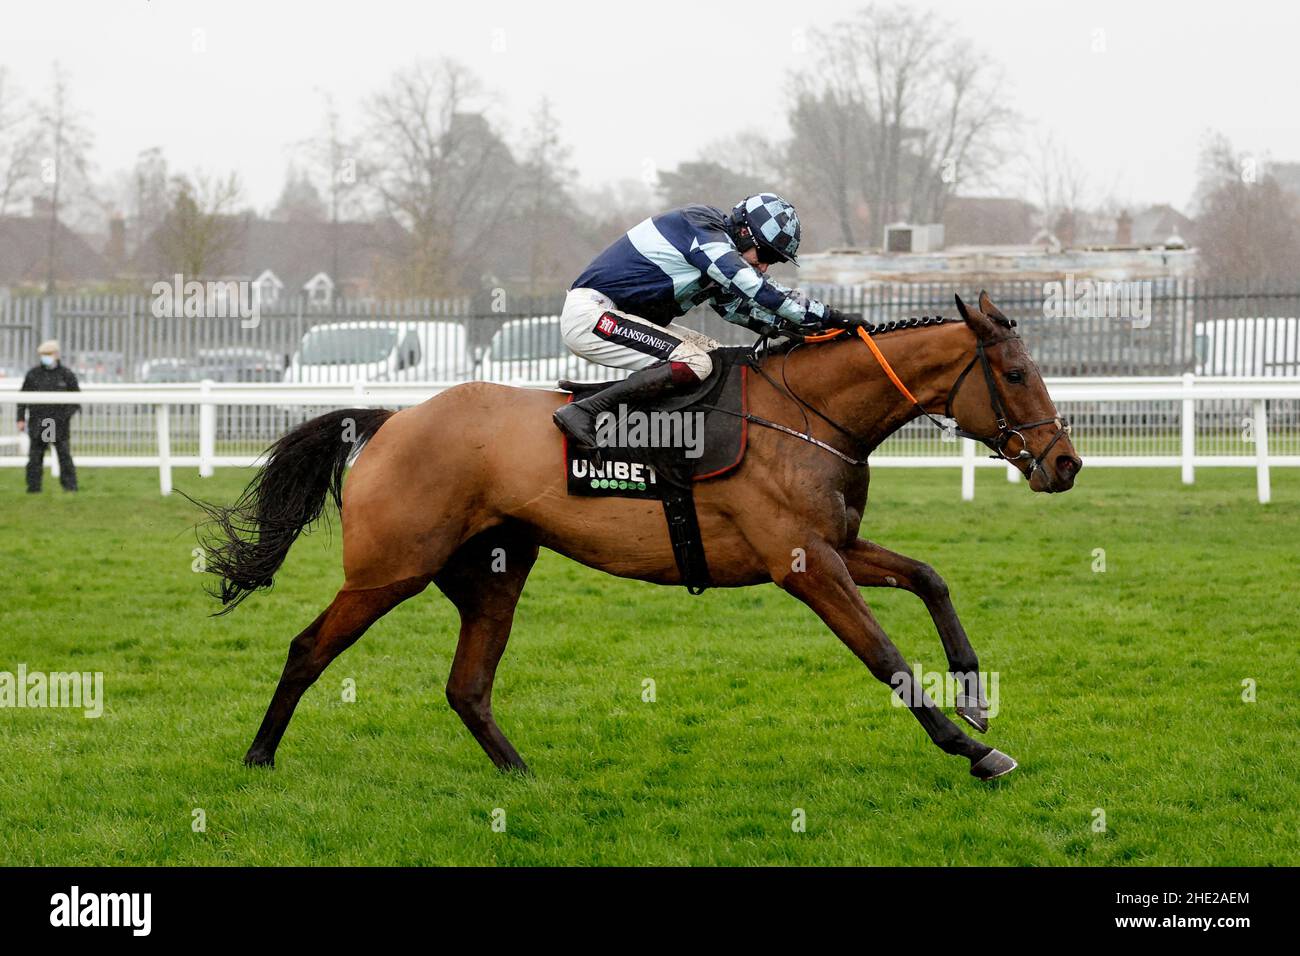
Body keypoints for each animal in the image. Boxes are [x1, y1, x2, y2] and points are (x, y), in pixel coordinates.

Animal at [192, 293, 1081, 785]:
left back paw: (522, 775)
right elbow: (886, 658)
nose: (1066, 463)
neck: (805, 414)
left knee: (467, 686)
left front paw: (975, 698)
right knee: (309, 648)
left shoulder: (837, 546)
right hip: (390, 570)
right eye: (1013, 374)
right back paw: (258, 760)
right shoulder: (804, 565)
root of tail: (392, 418)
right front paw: (970, 751)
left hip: (492, 573)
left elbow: (930, 577)